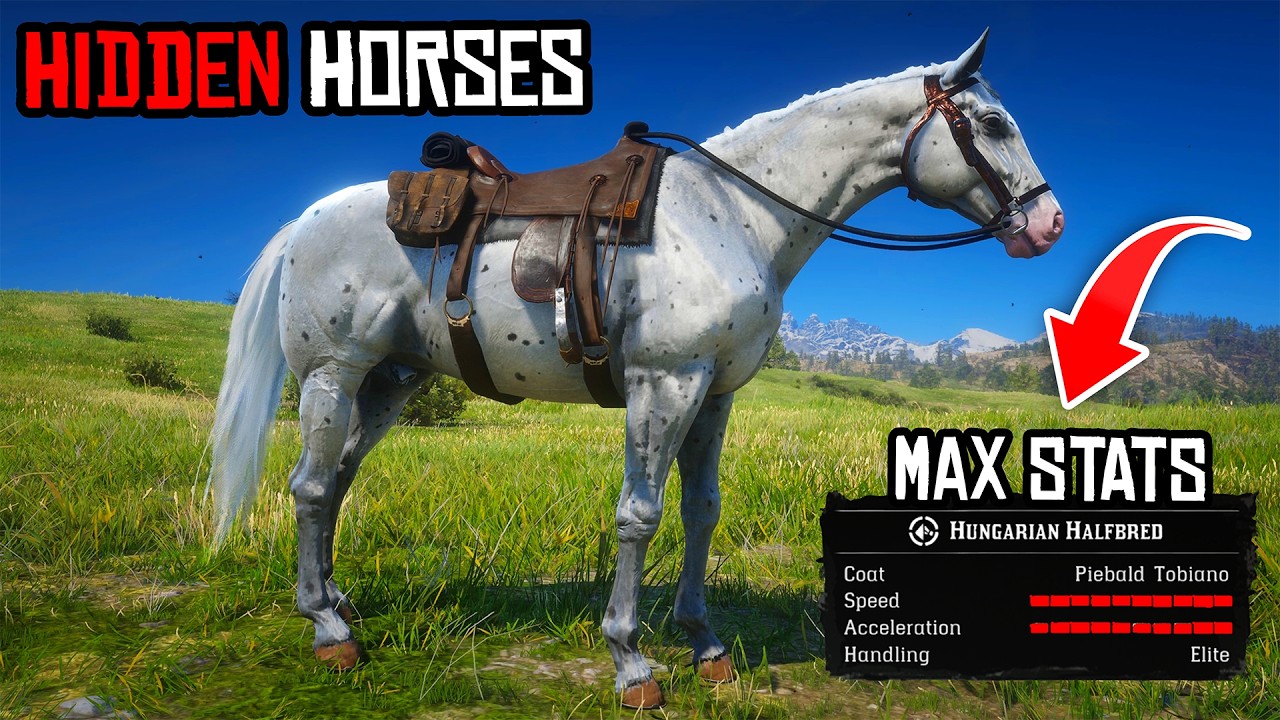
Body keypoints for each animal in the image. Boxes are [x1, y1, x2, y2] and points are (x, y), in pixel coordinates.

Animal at [208, 31, 1064, 709]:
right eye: (992, 123)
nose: (1049, 224)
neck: (736, 213)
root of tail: (305, 221)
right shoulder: (665, 382)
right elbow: (640, 515)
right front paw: (630, 659)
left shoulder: (714, 393)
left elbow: (701, 510)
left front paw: (706, 643)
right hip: (332, 373)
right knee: (310, 487)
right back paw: (327, 630)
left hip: (391, 381)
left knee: (337, 482)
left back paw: (337, 602)